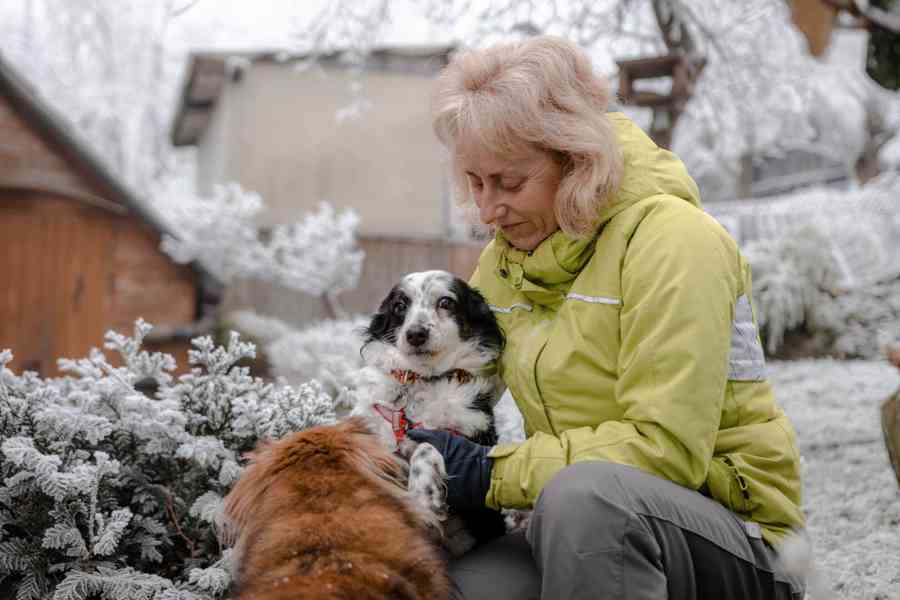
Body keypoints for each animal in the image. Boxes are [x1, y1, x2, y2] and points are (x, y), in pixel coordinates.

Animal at [350, 270, 510, 552]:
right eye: (399, 306)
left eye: (445, 302)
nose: (416, 334)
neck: (423, 380)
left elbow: (427, 446)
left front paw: (425, 492)